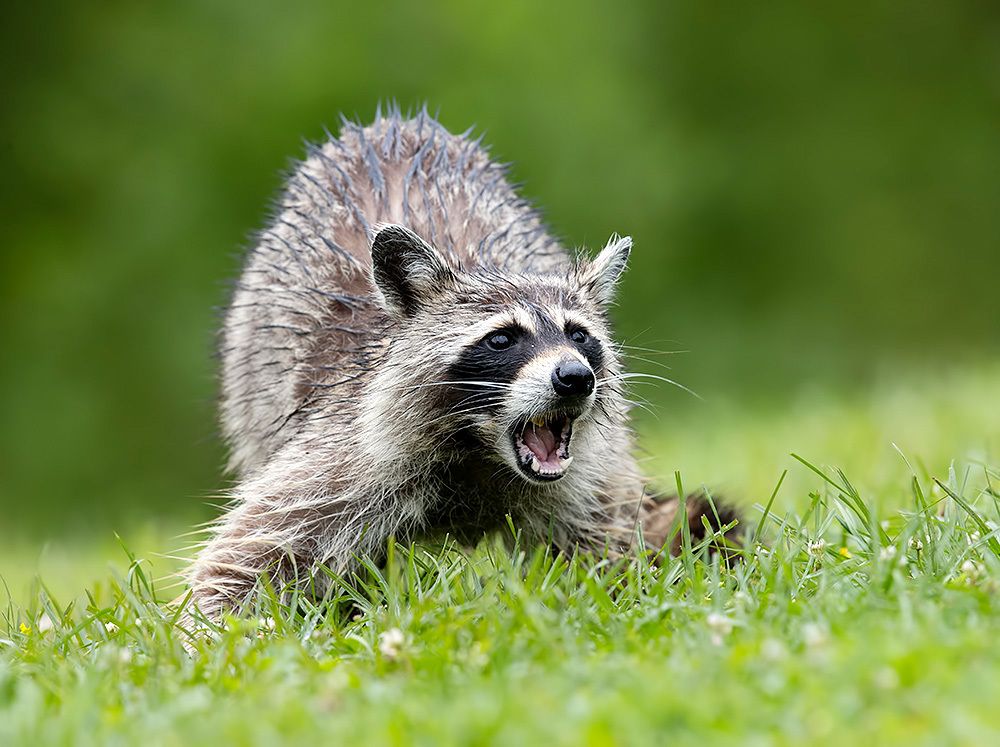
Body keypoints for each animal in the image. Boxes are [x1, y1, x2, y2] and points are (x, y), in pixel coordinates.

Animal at [187, 108, 738, 619]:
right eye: (502, 339)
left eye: (579, 335)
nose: (575, 377)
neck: (480, 450)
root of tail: (394, 125)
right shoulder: (348, 458)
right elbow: (245, 562)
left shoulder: (587, 479)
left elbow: (609, 547)